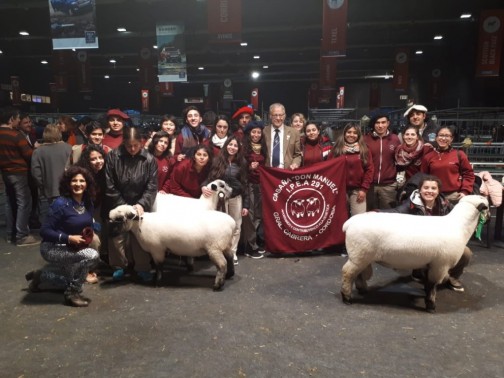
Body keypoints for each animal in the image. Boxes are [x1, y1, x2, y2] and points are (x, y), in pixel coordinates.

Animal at [340, 195, 490, 314]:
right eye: (487, 207)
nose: (488, 219)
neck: (459, 226)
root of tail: (349, 223)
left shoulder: (432, 264)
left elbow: (429, 284)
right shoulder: (440, 265)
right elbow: (432, 285)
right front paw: (430, 306)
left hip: (361, 256)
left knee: (358, 274)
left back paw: (362, 290)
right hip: (359, 254)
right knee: (347, 273)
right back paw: (346, 297)